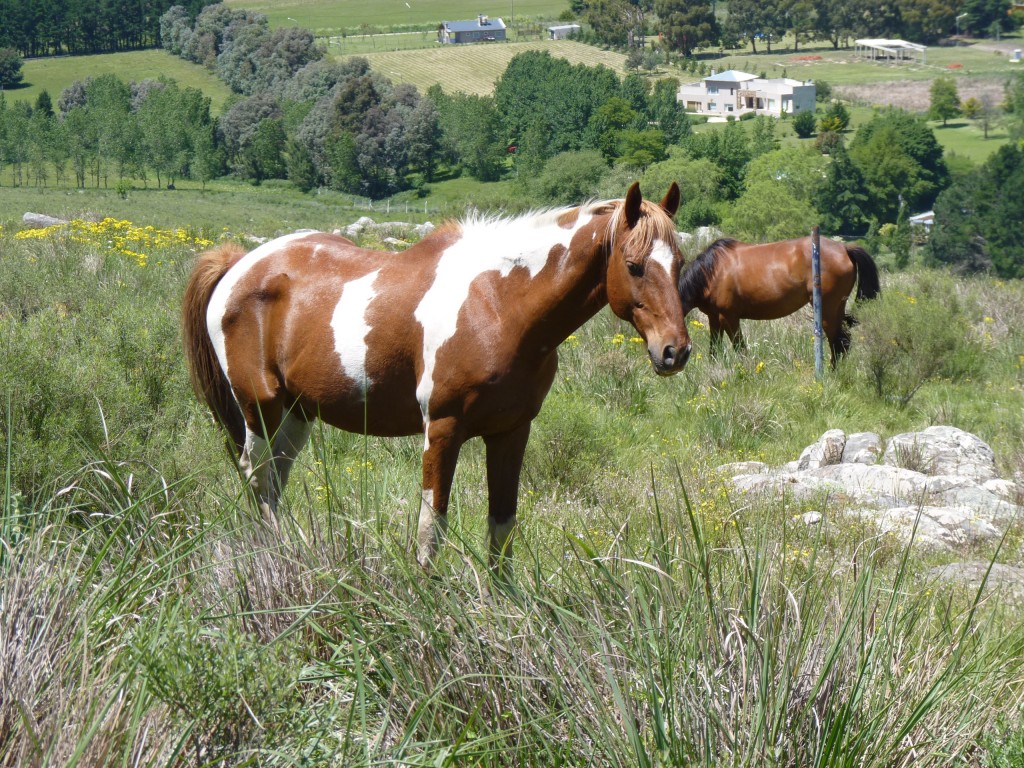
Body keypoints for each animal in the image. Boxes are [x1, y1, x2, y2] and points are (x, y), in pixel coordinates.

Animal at [184, 183, 696, 573]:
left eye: (680, 262)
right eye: (633, 265)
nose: (675, 351)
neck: (498, 305)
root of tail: (237, 265)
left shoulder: (512, 432)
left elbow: (502, 526)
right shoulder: (443, 429)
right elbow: (433, 525)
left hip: (295, 415)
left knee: (273, 482)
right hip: (261, 409)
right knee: (258, 478)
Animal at [679, 234, 880, 366]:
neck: (711, 273)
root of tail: (845, 249)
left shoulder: (729, 317)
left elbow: (740, 348)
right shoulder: (715, 319)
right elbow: (714, 350)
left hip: (828, 312)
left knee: (839, 343)